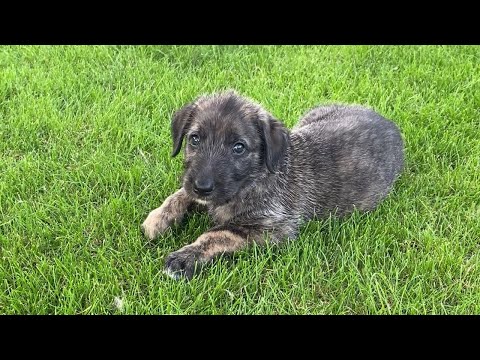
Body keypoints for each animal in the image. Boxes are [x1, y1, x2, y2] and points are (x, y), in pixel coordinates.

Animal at [141, 90, 404, 282]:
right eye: (194, 139)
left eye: (239, 147)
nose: (202, 187)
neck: (253, 180)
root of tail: (388, 122)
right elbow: (181, 194)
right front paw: (159, 217)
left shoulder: (273, 229)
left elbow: (218, 234)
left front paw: (186, 257)